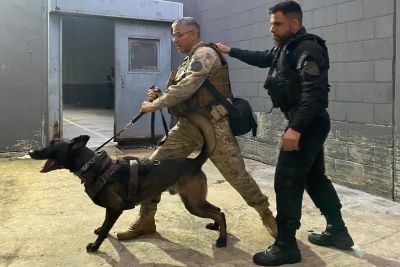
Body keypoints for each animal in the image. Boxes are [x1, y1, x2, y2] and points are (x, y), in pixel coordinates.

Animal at [29, 114, 227, 252]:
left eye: (52, 145)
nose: (30, 151)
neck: (93, 166)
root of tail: (194, 162)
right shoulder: (110, 209)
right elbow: (104, 225)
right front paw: (100, 231)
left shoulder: (115, 208)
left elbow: (105, 230)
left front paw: (95, 246)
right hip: (194, 202)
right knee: (218, 210)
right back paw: (216, 228)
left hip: (193, 204)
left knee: (220, 213)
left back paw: (222, 240)